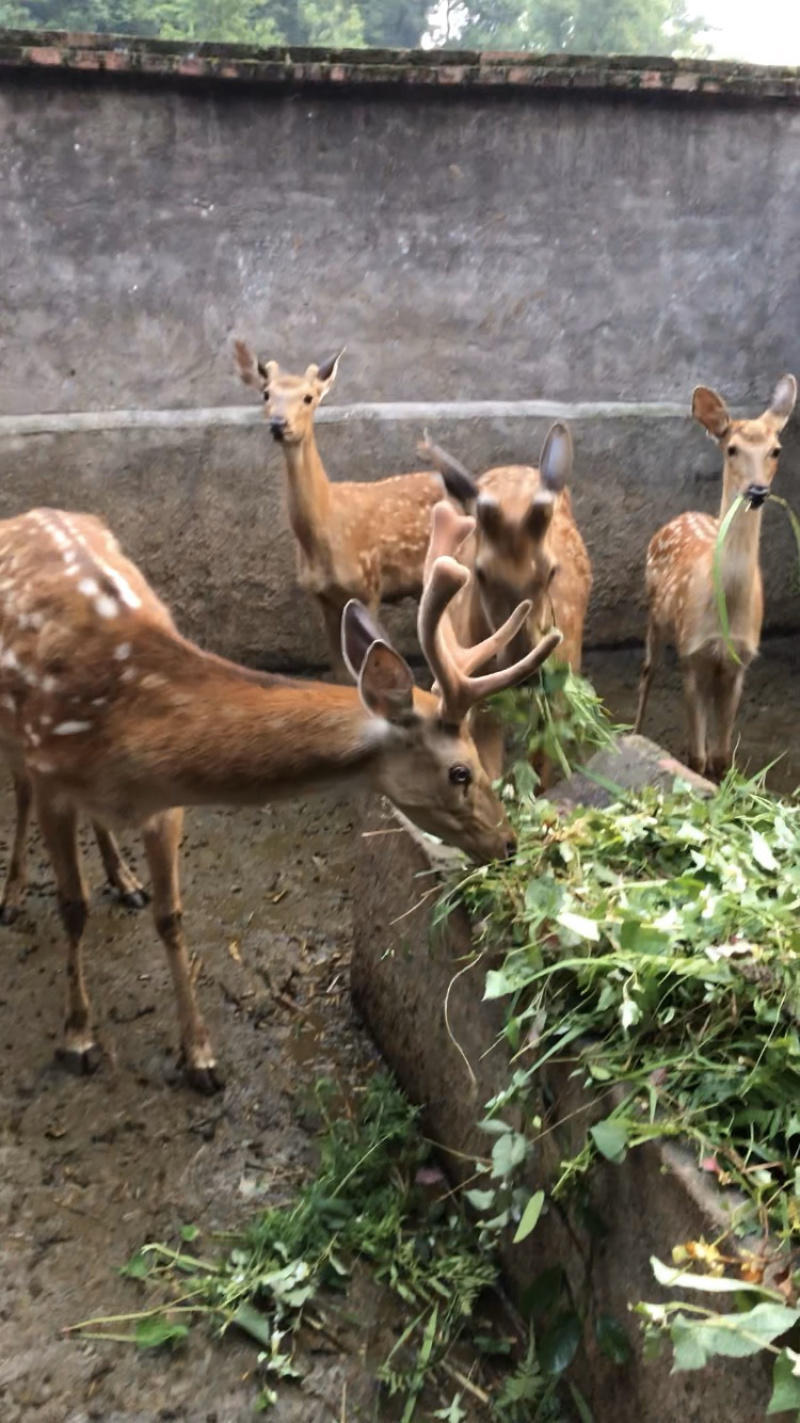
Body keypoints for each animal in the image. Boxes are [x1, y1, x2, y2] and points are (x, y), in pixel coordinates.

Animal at [0, 502, 560, 1093]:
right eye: (460, 771)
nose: (508, 843)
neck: (124, 728)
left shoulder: (164, 805)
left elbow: (170, 917)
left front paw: (200, 1055)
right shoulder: (52, 775)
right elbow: (72, 906)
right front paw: (77, 1038)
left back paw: (123, 879)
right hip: (16, 738)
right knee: (19, 791)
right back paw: (13, 896)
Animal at [234, 340, 477, 679]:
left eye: (308, 397)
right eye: (266, 393)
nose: (279, 424)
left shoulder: (367, 586)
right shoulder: (322, 598)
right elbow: (340, 673)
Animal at [634, 373, 797, 780]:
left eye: (776, 450)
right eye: (732, 449)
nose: (757, 490)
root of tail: (682, 515)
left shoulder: (739, 660)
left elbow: (722, 757)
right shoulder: (692, 652)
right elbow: (697, 757)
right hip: (654, 613)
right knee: (647, 671)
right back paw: (634, 732)